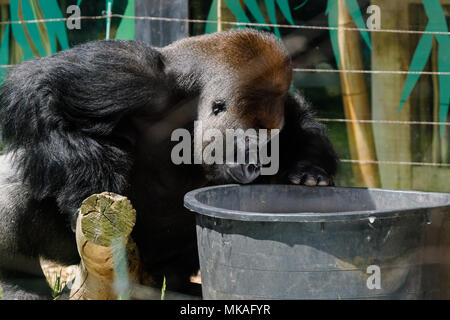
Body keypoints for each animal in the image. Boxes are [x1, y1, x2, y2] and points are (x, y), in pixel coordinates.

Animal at [0, 28, 338, 298]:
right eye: (247, 142)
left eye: (267, 144)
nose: (255, 166)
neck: (193, 95)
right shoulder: (128, 72)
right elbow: (39, 91)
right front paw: (93, 175)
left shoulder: (280, 104)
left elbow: (302, 125)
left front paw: (309, 170)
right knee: (18, 176)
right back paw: (15, 281)